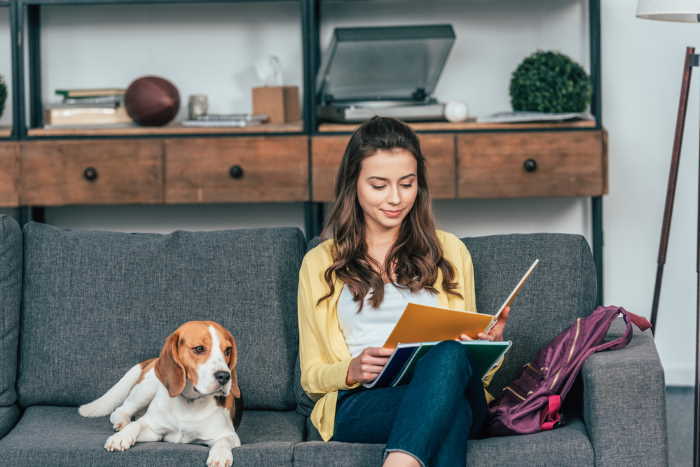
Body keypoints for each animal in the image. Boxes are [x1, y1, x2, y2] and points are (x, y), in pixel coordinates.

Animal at [79, 322, 242, 467]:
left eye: (227, 351)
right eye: (199, 349)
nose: (225, 376)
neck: (189, 402)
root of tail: (153, 360)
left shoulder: (229, 435)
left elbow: (224, 440)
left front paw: (220, 456)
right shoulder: (154, 430)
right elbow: (136, 425)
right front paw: (121, 437)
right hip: (145, 389)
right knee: (121, 411)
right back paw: (123, 423)